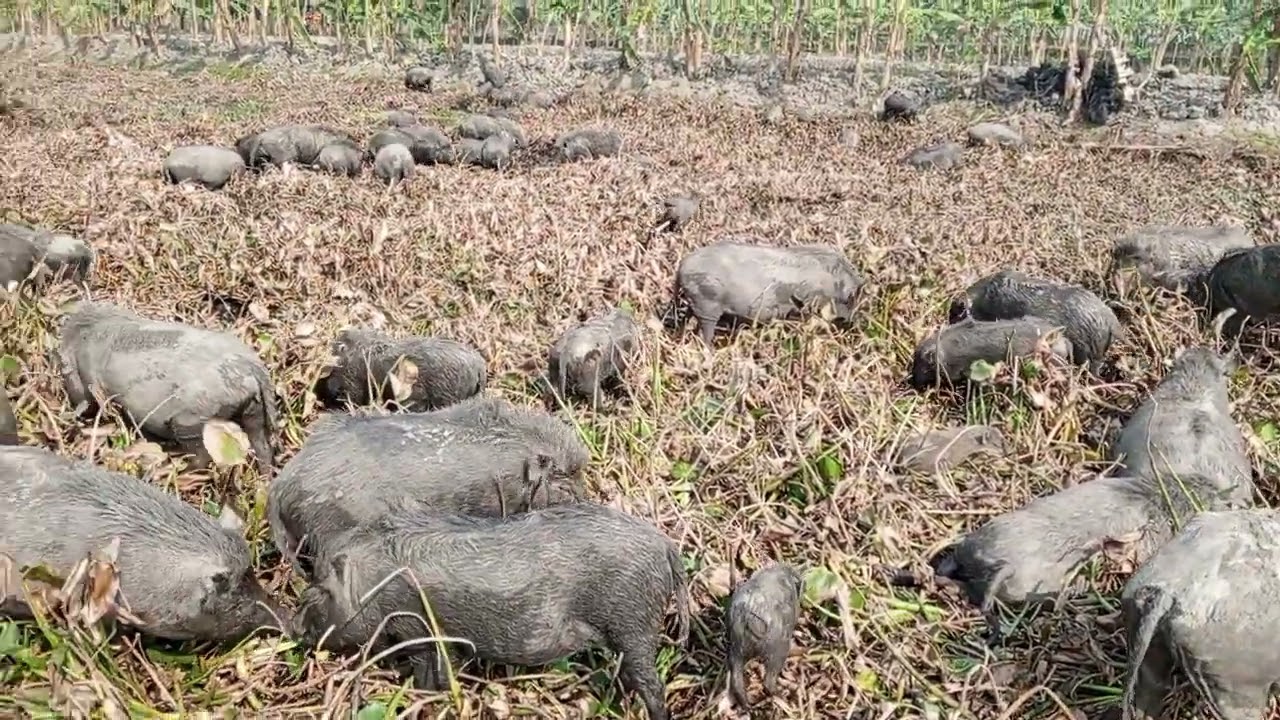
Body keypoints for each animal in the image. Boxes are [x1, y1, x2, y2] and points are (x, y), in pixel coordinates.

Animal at [56, 301, 280, 473]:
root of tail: (252, 366)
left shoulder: (92, 381)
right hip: (254, 409)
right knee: (262, 445)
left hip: (191, 417)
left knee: (202, 454)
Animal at [290, 503, 690, 720]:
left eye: (322, 587)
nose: (294, 626)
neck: (372, 582)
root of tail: (667, 547)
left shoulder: (420, 631)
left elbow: (432, 674)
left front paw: (423, 697)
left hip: (633, 624)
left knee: (652, 685)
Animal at [664, 241, 865, 346]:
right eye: (851, 299)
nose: (853, 326)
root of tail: (682, 266)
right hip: (707, 305)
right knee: (704, 333)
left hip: (695, 304)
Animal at [725, 563, 803, 710]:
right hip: (778, 650)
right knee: (768, 682)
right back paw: (783, 695)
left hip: (735, 649)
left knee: (736, 680)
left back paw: (747, 705)